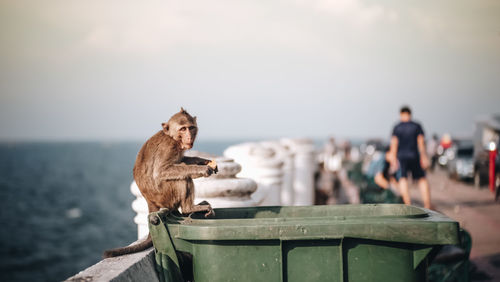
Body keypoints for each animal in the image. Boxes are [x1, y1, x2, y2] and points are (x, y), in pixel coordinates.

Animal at [103, 109, 215, 258]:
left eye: (191, 127)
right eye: (183, 129)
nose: (189, 137)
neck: (173, 138)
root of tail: (150, 201)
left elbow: (181, 159)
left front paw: (203, 161)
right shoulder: (169, 147)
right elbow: (162, 171)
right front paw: (203, 169)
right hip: (165, 194)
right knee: (182, 178)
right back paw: (189, 208)